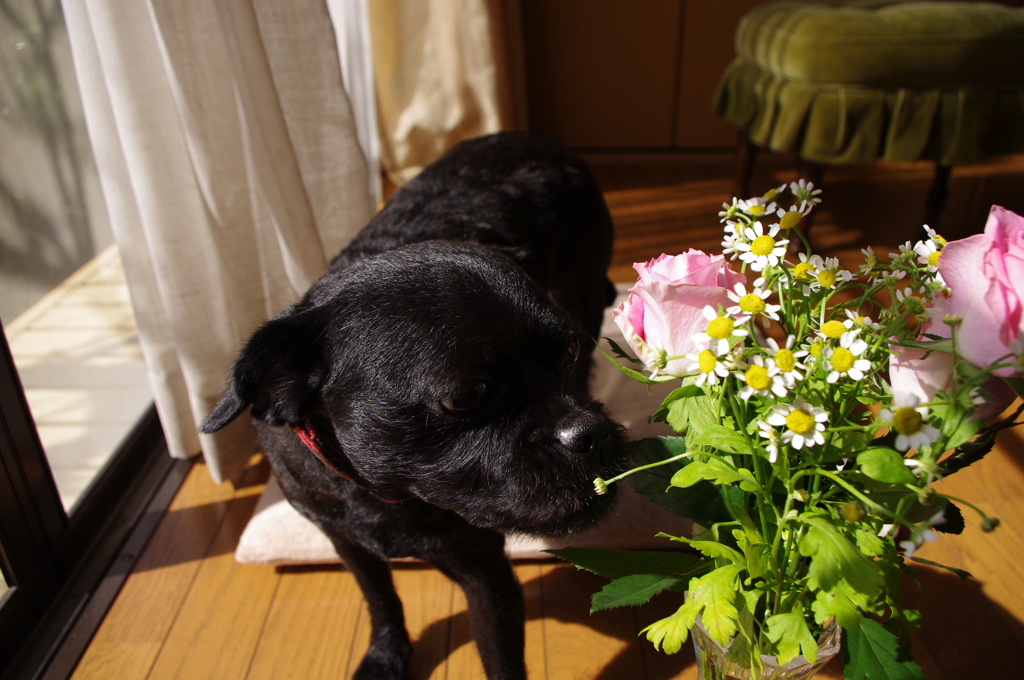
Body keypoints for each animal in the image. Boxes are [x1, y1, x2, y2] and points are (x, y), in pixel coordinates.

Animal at [201, 133, 622, 680]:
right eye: (466, 397)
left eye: (565, 353)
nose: (593, 434)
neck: (385, 495)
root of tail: (545, 142)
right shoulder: (348, 543)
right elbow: (380, 598)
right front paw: (387, 653)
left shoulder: (485, 574)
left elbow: (501, 660)